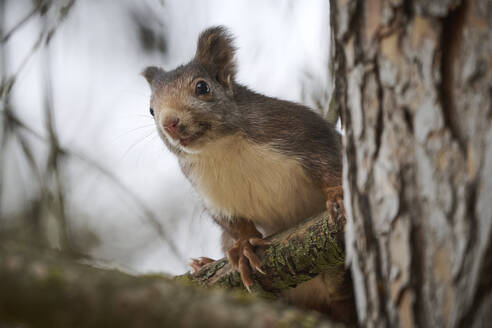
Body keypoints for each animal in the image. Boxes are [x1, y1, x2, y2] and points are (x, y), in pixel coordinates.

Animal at [141, 26, 350, 322]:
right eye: (150, 109)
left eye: (202, 87)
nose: (169, 122)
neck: (222, 149)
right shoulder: (210, 193)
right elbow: (232, 222)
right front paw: (242, 247)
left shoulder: (301, 130)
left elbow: (329, 162)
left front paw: (337, 195)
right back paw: (204, 263)